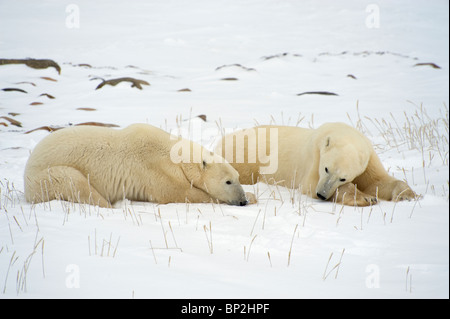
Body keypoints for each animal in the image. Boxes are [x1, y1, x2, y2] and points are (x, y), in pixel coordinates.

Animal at [24, 122, 251, 208]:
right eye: (228, 181)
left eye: (238, 177)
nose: (243, 201)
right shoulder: (154, 169)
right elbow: (179, 193)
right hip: (47, 176)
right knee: (77, 184)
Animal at [215, 122, 418, 208]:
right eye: (326, 168)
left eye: (342, 177)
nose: (321, 194)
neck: (341, 132)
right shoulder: (313, 157)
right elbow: (309, 184)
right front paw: (364, 198)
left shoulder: (369, 159)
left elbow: (377, 181)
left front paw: (407, 195)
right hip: (246, 155)